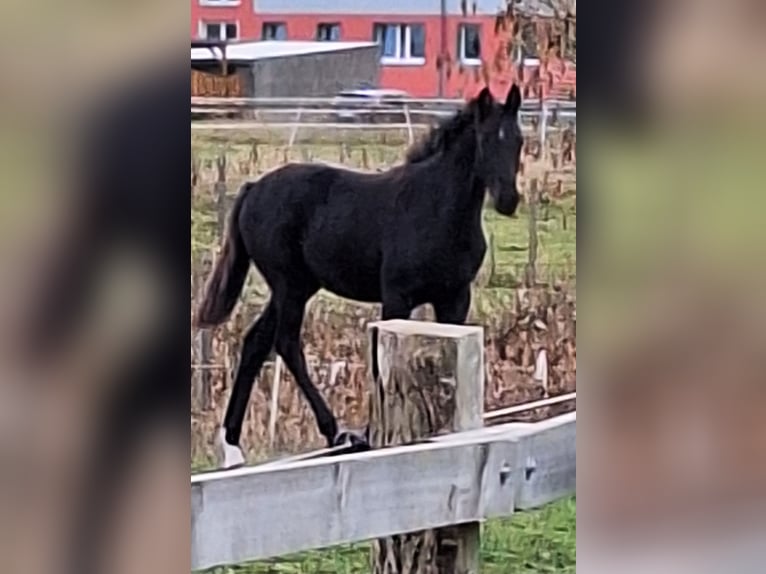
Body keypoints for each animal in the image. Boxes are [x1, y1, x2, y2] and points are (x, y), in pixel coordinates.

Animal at [195, 85, 524, 468]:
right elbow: (381, 366)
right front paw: (371, 434)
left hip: (297, 287)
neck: (436, 209)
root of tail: (253, 188)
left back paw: (233, 447)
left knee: (255, 343)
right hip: (289, 285)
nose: (508, 200)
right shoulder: (397, 297)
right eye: (486, 139)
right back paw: (336, 432)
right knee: (286, 342)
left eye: (518, 139)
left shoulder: (455, 297)